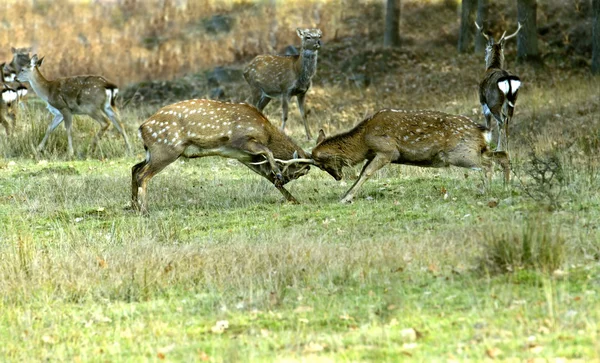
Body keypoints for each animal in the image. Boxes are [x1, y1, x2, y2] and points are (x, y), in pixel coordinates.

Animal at [131, 98, 310, 215]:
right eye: (297, 173)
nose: (284, 179)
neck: (266, 132)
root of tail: (141, 128)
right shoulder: (240, 140)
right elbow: (267, 151)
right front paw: (278, 174)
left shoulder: (244, 157)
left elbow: (268, 176)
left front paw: (294, 200)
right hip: (166, 149)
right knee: (143, 175)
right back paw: (144, 211)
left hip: (152, 152)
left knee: (134, 168)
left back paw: (134, 207)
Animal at [474, 21, 520, 152]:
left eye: (486, 50)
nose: (484, 56)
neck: (493, 67)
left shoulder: (483, 102)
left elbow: (488, 125)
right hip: (511, 102)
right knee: (508, 121)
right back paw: (508, 149)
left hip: (494, 102)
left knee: (501, 121)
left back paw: (499, 148)